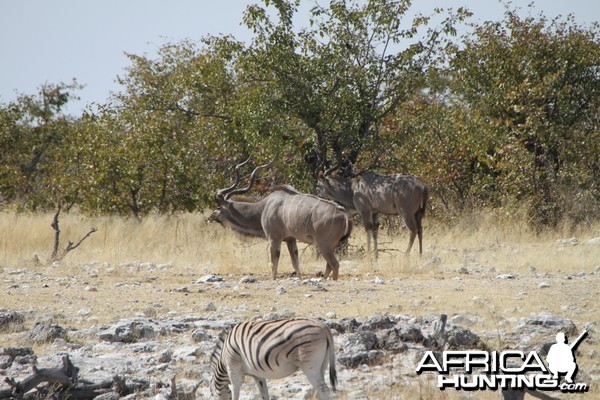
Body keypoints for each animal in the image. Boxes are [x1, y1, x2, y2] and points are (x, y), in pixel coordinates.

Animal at [210, 318, 338, 398]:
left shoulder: (233, 369)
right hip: (321, 365)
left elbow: (235, 393)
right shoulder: (258, 374)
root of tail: (324, 326)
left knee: (323, 390)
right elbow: (264, 394)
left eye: (212, 395)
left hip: (309, 365)